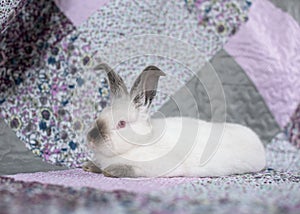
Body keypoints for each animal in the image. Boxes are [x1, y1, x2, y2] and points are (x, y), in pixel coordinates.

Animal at [83, 63, 266, 177]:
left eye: (121, 123)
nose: (91, 139)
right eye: (99, 115)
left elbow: (133, 169)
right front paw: (89, 166)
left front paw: (111, 171)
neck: (141, 143)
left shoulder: (156, 167)